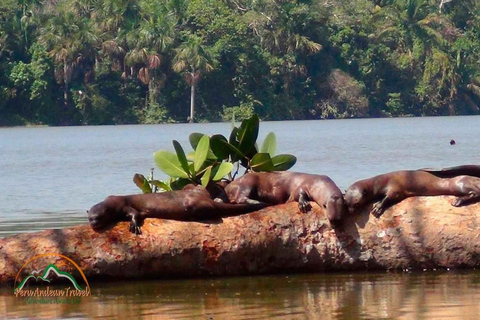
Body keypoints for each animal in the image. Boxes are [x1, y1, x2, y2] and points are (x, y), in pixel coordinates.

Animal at [89, 184, 270, 234]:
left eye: (98, 217)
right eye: (90, 217)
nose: (93, 224)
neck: (112, 202)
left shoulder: (123, 204)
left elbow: (134, 213)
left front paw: (134, 226)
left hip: (193, 205)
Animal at [344, 169, 480, 219]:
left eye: (356, 204)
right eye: (347, 203)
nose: (350, 211)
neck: (382, 182)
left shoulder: (396, 188)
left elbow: (389, 197)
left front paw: (377, 207)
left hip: (459, 184)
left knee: (476, 193)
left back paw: (458, 201)